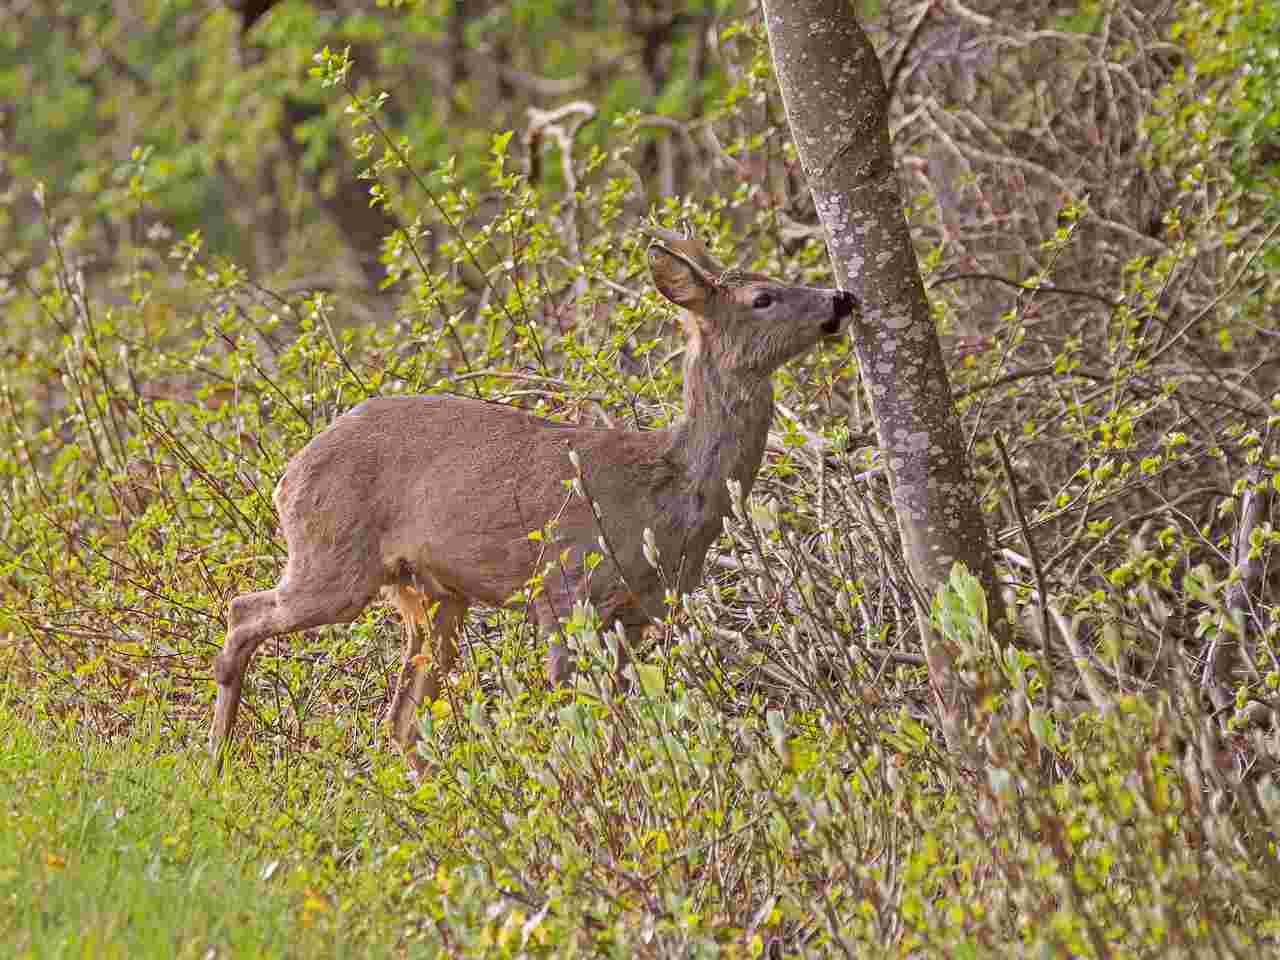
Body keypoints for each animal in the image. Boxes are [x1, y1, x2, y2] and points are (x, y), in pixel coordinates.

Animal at [207, 231, 860, 773]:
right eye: (763, 298)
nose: (842, 298)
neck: (666, 497)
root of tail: (286, 475)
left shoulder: (640, 612)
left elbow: (616, 719)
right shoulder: (565, 586)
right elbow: (574, 712)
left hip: (433, 593)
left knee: (402, 714)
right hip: (334, 558)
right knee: (244, 611)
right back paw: (216, 763)